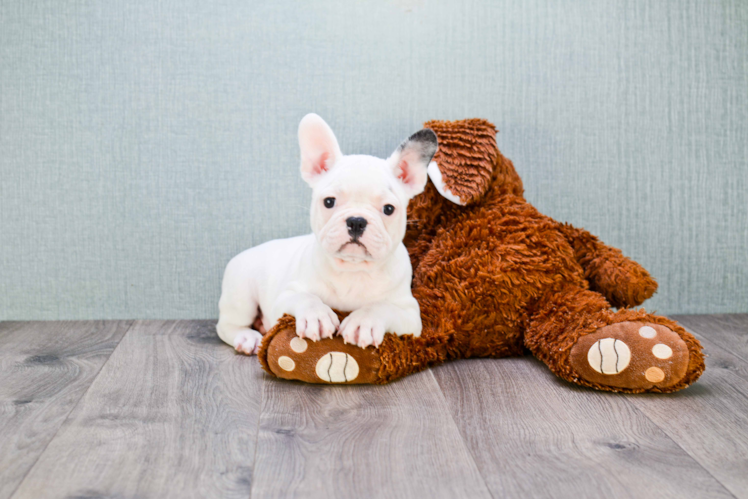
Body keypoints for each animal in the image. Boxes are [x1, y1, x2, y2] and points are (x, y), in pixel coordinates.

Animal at [216, 114, 438, 356]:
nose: (356, 221)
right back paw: (247, 337)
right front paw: (316, 315)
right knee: (226, 325)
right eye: (329, 202)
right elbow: (306, 297)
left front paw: (364, 322)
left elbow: (381, 306)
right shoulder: (284, 296)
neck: (353, 269)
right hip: (241, 295)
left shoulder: (410, 314)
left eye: (389, 209)